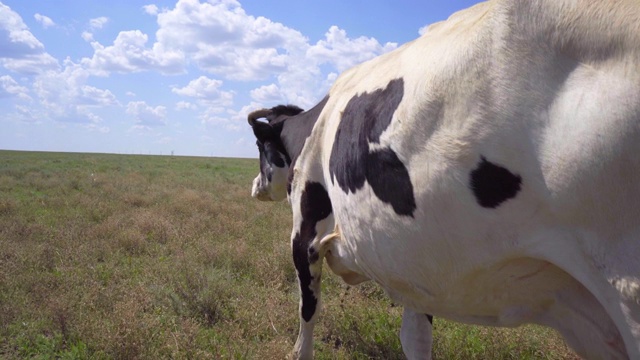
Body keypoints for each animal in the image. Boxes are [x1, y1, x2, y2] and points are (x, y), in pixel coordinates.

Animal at [246, 1, 640, 358]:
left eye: (260, 147)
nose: (255, 187)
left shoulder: (306, 230)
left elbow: (308, 311)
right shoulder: (414, 264)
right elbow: (415, 338)